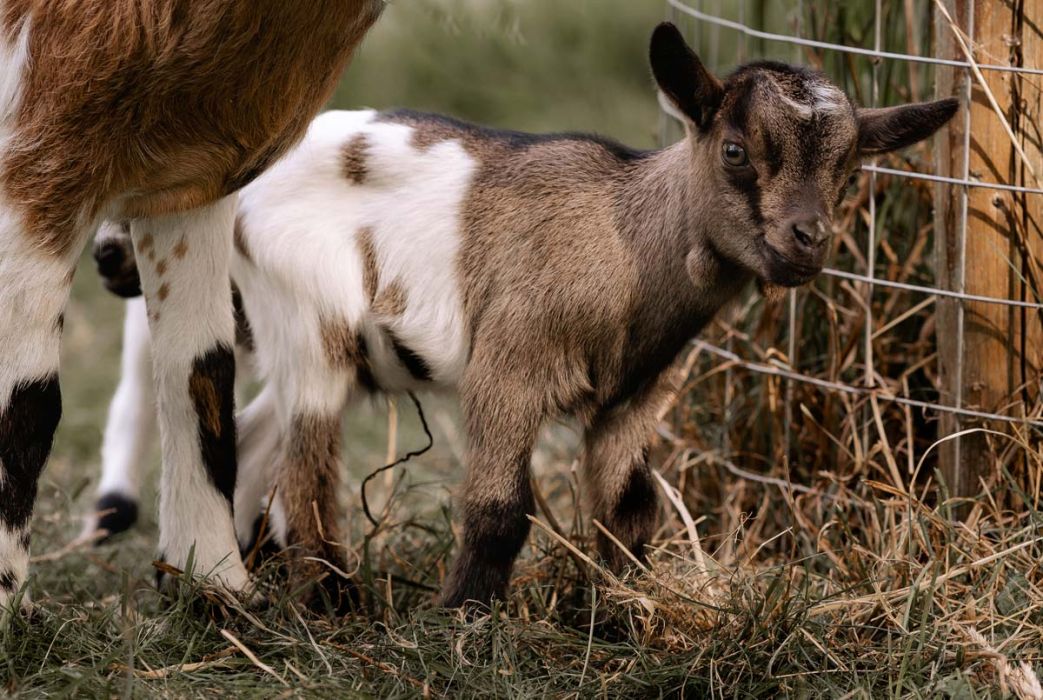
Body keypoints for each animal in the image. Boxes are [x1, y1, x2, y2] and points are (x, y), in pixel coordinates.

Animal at [0, 1, 383, 622]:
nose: (111, 264)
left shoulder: (194, 172)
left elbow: (202, 374)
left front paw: (212, 583)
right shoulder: (42, 144)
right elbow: (26, 403)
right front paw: (7, 605)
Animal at [87, 23, 957, 609]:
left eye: (849, 171)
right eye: (736, 152)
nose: (806, 243)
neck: (626, 241)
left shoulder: (634, 396)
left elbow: (630, 510)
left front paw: (614, 619)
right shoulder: (509, 366)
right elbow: (501, 508)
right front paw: (462, 620)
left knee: (256, 432)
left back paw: (229, 576)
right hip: (310, 322)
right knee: (304, 469)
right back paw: (333, 602)